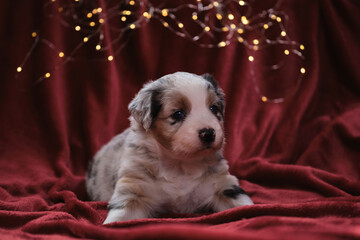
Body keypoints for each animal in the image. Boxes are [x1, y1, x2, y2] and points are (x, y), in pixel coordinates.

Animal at [86, 71, 253, 223]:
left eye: (213, 108)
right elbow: (120, 217)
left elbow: (243, 205)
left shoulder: (222, 185)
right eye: (178, 114)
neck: (179, 165)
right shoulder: (135, 188)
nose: (208, 133)